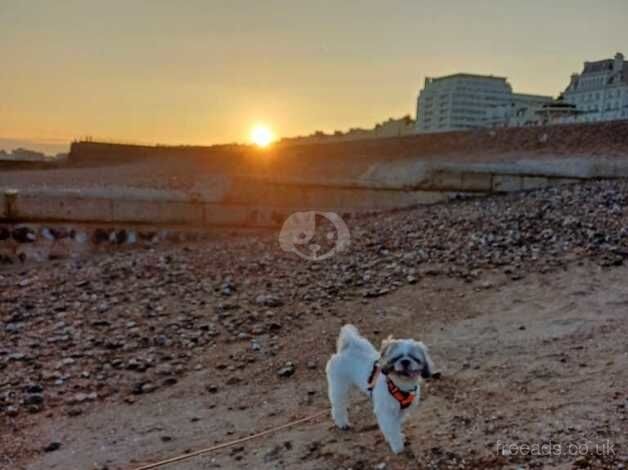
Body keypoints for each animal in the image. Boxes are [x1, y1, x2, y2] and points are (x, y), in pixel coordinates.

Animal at [326, 324, 434, 454]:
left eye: (414, 358)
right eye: (396, 358)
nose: (405, 361)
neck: (399, 385)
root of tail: (348, 347)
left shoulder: (399, 412)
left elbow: (395, 426)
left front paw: (397, 436)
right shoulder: (386, 412)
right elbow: (391, 429)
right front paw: (397, 446)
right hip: (339, 387)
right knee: (338, 406)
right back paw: (342, 423)